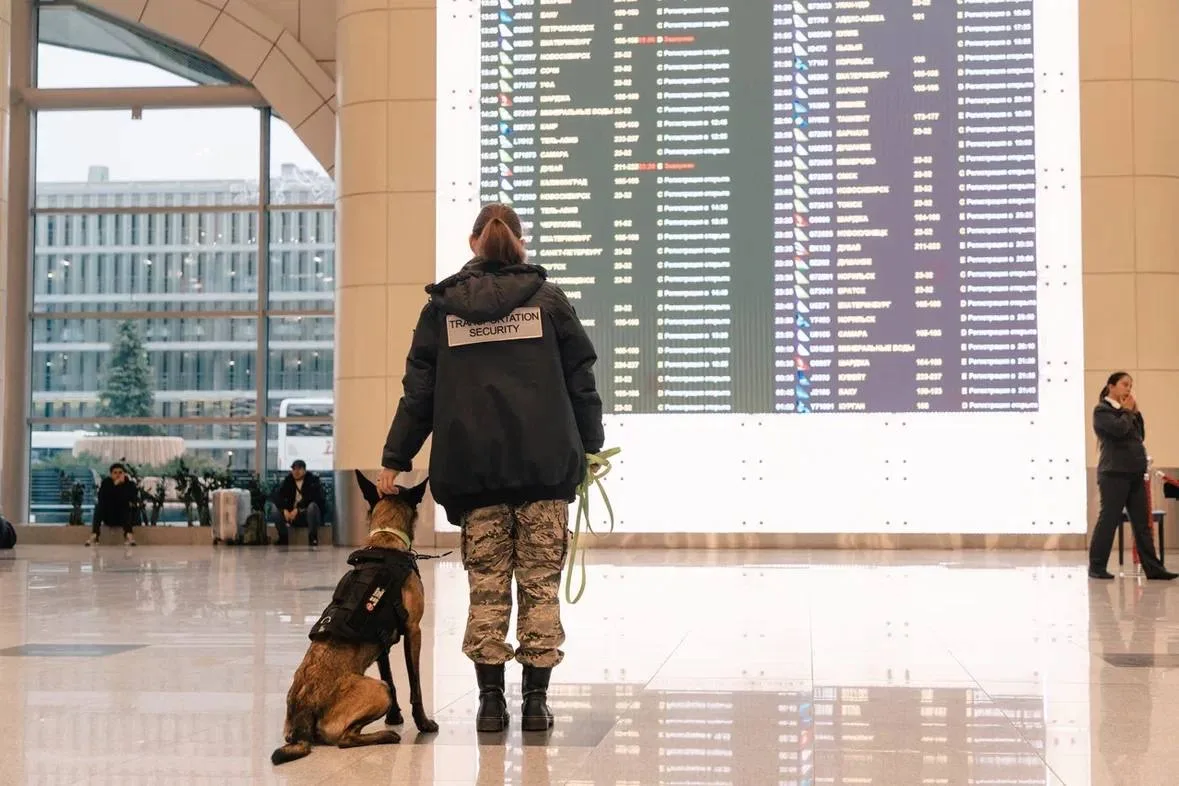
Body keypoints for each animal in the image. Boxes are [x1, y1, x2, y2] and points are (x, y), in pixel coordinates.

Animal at [271, 471, 439, 765]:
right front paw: (422, 723)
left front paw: (394, 716)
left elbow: (392, 677)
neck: (386, 539)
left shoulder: (382, 642)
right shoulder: (413, 630)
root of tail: (302, 715)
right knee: (344, 740)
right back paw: (385, 736)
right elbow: (414, 684)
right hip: (376, 690)